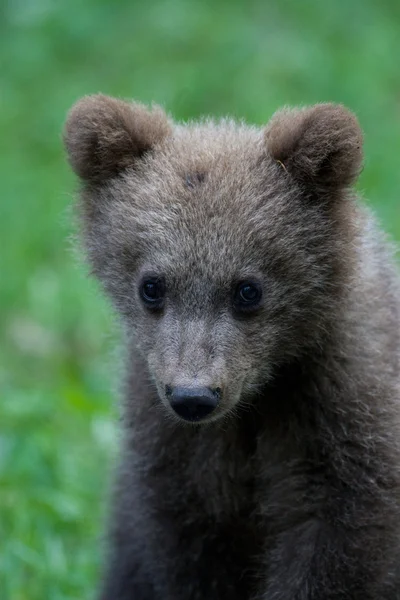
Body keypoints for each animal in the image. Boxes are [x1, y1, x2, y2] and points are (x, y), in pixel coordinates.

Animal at [63, 96, 400, 596]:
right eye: (152, 285)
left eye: (247, 289)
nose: (194, 396)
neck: (258, 398)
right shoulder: (176, 452)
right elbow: (190, 545)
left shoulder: (340, 408)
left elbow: (336, 546)